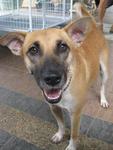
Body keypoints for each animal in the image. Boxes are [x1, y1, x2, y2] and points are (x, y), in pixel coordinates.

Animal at [0, 4, 109, 149]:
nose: (52, 79)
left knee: (102, 86)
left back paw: (103, 100)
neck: (65, 89)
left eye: (63, 46)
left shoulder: (76, 114)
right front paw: (59, 135)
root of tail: (95, 29)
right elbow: (61, 124)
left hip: (105, 72)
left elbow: (74, 134)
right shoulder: (54, 108)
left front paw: (71, 146)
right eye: (33, 50)